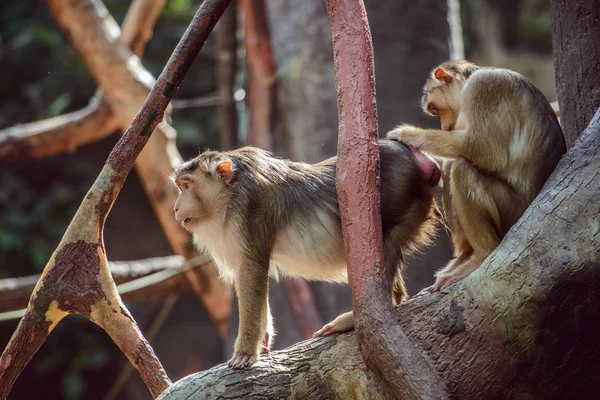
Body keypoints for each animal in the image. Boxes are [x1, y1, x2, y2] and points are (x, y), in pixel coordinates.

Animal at [171, 140, 438, 368]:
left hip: (403, 196)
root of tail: (417, 157)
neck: (231, 190)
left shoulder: (250, 209)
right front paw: (264, 338)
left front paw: (246, 351)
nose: (175, 207)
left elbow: (253, 269)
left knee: (386, 240)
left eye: (187, 185)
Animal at [386, 59, 564, 290]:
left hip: (513, 211)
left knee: (461, 168)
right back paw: (464, 255)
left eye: (434, 107)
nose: (444, 126)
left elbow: (484, 150)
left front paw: (410, 134)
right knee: (452, 167)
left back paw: (482, 254)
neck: (469, 80)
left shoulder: (483, 88)